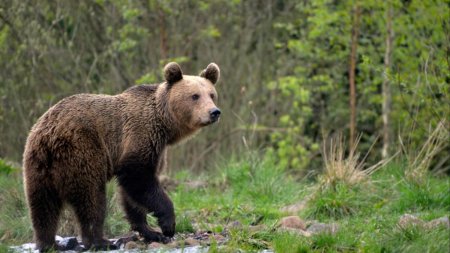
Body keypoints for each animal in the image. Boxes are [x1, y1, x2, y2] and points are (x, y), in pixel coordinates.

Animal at [22, 62, 221, 251]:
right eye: (195, 96)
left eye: (211, 94)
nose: (214, 112)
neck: (164, 124)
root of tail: (50, 135)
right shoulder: (140, 136)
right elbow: (138, 177)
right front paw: (167, 226)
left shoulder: (157, 148)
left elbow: (132, 194)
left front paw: (150, 231)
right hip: (82, 150)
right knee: (92, 198)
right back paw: (100, 241)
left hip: (38, 165)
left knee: (43, 206)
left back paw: (48, 244)